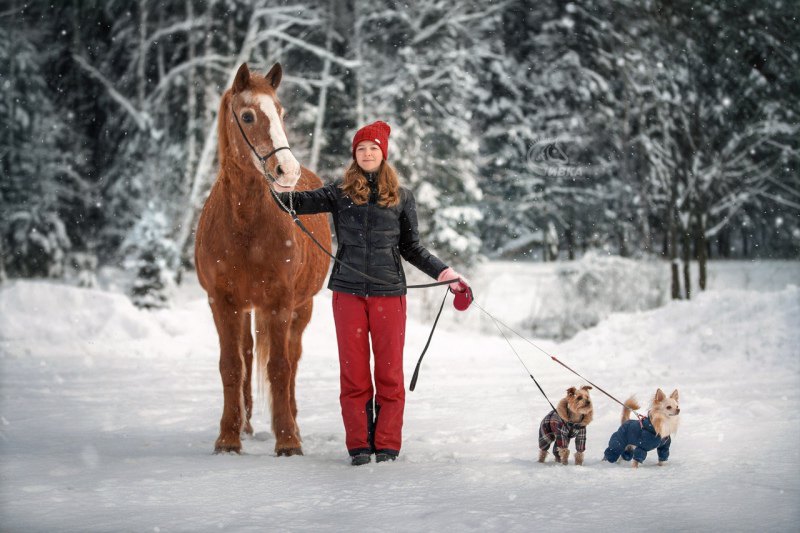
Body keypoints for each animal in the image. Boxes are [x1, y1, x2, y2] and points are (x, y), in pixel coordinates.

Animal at [195, 62, 330, 454]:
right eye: (248, 115)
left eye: (281, 112)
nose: (288, 170)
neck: (244, 225)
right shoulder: (222, 302)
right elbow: (231, 365)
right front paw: (228, 438)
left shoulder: (280, 303)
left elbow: (280, 368)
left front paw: (288, 440)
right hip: (245, 309)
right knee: (249, 353)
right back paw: (247, 424)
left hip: (301, 308)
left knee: (292, 359)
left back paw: (292, 422)